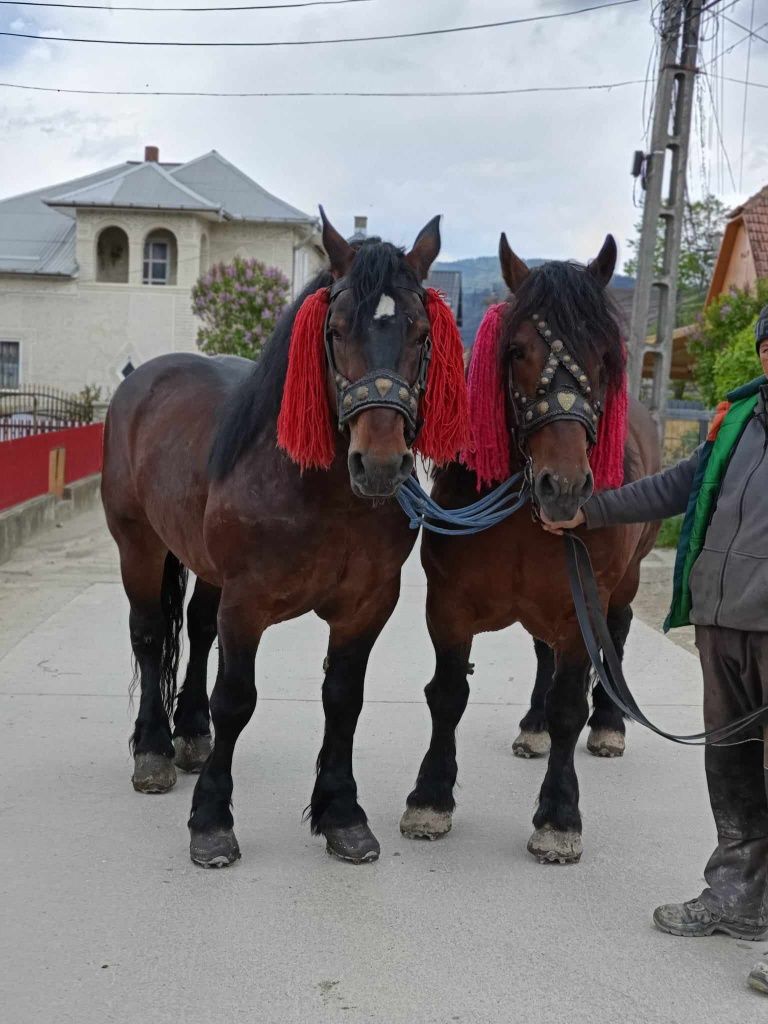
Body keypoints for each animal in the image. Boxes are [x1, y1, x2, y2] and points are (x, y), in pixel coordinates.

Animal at [102, 211, 468, 868]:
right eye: (337, 330)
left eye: (422, 333)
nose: (380, 464)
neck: (324, 496)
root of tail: (139, 382)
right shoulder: (247, 603)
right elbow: (236, 698)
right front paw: (211, 821)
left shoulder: (367, 604)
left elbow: (343, 697)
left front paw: (342, 814)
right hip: (137, 546)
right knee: (148, 634)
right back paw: (154, 750)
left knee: (197, 630)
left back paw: (190, 734)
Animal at [397, 234, 663, 864]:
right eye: (516, 351)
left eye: (606, 357)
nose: (562, 487)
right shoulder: (448, 604)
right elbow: (448, 694)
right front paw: (431, 795)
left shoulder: (580, 603)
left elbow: (571, 704)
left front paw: (559, 815)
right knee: (544, 655)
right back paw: (534, 725)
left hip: (621, 585)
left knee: (615, 638)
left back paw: (610, 723)